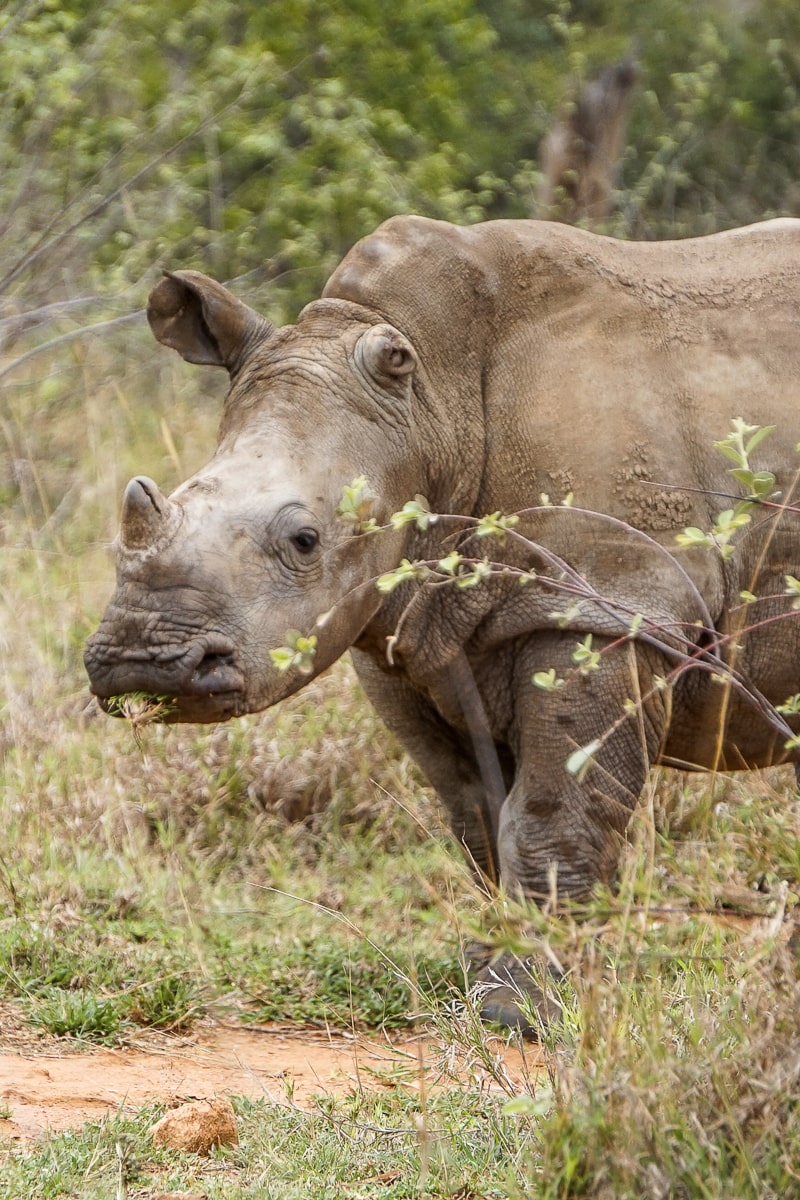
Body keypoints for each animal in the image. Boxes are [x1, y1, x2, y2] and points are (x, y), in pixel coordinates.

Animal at [85, 214, 800, 1032]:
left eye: (304, 540)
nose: (141, 663)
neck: (432, 407)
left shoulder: (609, 603)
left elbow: (554, 811)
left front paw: (520, 1011)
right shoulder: (405, 633)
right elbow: (478, 814)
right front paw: (491, 973)